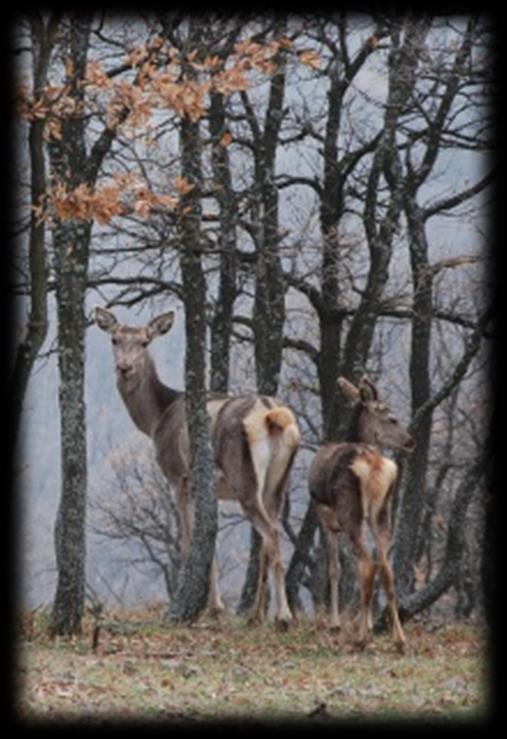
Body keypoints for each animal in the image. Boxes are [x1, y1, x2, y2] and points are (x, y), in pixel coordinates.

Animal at [92, 306, 302, 632]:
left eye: (144, 342)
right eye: (114, 339)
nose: (125, 367)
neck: (155, 421)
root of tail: (272, 414)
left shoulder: (178, 476)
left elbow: (189, 540)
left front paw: (207, 606)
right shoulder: (208, 488)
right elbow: (210, 540)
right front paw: (214, 607)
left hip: (244, 476)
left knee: (271, 533)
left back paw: (283, 616)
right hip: (278, 482)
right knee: (268, 537)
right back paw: (255, 615)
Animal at [310, 378, 416, 652]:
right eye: (392, 418)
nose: (410, 441)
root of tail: (374, 465)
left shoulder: (325, 520)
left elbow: (334, 569)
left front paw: (336, 624)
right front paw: (366, 623)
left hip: (350, 512)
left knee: (367, 565)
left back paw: (361, 638)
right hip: (381, 512)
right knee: (385, 567)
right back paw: (399, 639)